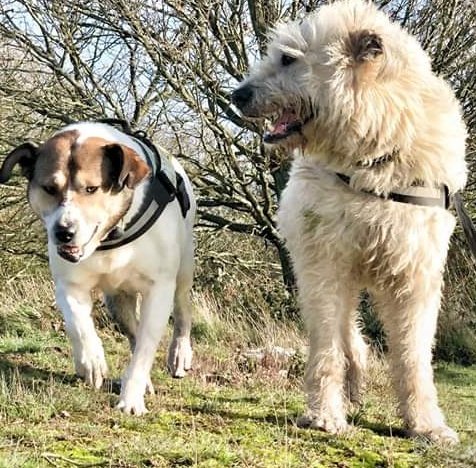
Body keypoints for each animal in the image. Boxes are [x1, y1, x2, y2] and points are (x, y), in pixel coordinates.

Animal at [0, 122, 196, 414]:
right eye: (49, 188)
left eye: (92, 189)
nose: (64, 232)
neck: (109, 237)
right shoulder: (70, 284)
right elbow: (78, 323)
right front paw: (91, 362)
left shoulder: (158, 288)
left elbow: (145, 348)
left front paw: (131, 400)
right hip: (117, 302)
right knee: (131, 329)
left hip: (184, 266)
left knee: (182, 307)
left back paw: (179, 353)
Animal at [232, 0, 466, 442]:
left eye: (288, 59)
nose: (237, 94)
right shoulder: (326, 263)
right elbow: (327, 346)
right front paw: (325, 414)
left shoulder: (415, 276)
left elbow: (414, 356)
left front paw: (426, 424)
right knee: (343, 332)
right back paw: (351, 377)